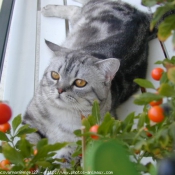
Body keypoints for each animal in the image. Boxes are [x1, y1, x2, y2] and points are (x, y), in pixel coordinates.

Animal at [22, 0, 155, 164]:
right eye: (55, 75)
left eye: (80, 83)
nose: (60, 90)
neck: (62, 115)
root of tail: (143, 17)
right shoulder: (30, 120)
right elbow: (26, 146)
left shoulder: (83, 140)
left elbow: (65, 157)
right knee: (76, 8)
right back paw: (48, 9)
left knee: (76, 9)